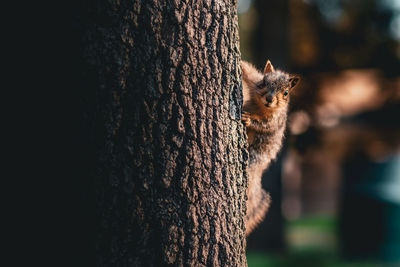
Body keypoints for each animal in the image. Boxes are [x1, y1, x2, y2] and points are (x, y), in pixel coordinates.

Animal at [241, 59, 300, 236]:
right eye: (263, 82)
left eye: (286, 93)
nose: (269, 98)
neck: (261, 107)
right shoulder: (253, 82)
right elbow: (249, 72)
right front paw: (241, 64)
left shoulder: (275, 120)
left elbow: (263, 125)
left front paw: (249, 120)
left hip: (255, 155)